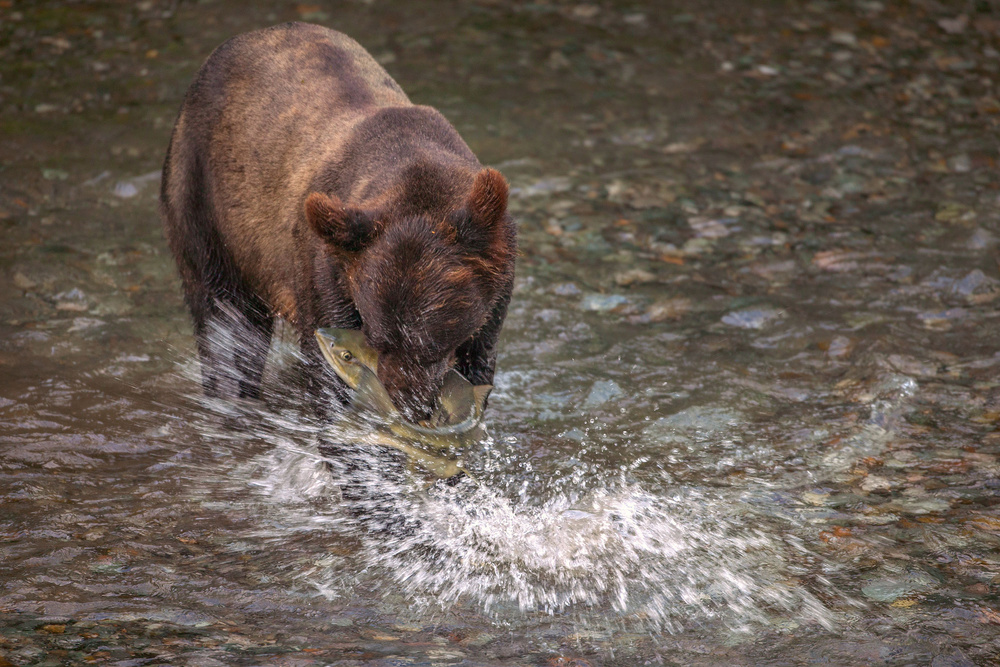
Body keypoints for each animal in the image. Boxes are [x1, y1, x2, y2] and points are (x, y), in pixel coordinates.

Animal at [158, 23, 516, 420]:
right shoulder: (328, 272)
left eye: (430, 343)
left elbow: (477, 364)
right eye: (378, 337)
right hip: (204, 204)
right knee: (225, 323)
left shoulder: (494, 297)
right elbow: (327, 377)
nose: (407, 406)